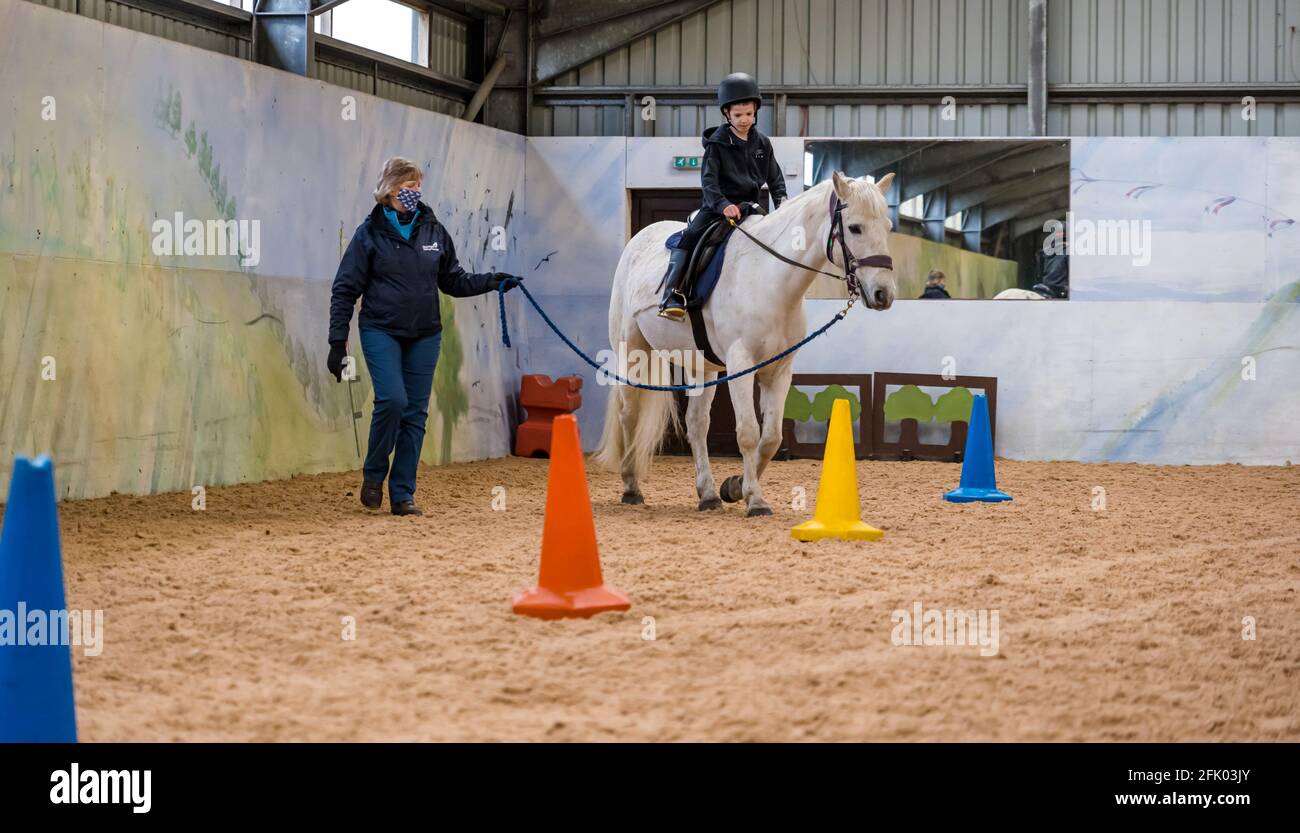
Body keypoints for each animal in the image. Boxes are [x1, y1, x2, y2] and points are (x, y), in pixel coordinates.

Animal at [595, 171, 899, 514]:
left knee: (696, 423)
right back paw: (631, 485)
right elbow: (749, 433)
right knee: (629, 413)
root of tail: (637, 242)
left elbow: (772, 438)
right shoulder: (741, 365)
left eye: (887, 226)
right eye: (855, 227)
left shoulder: (778, 370)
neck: (768, 277)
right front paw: (754, 499)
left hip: (701, 366)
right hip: (632, 352)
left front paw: (735, 486)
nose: (883, 294)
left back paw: (708, 494)